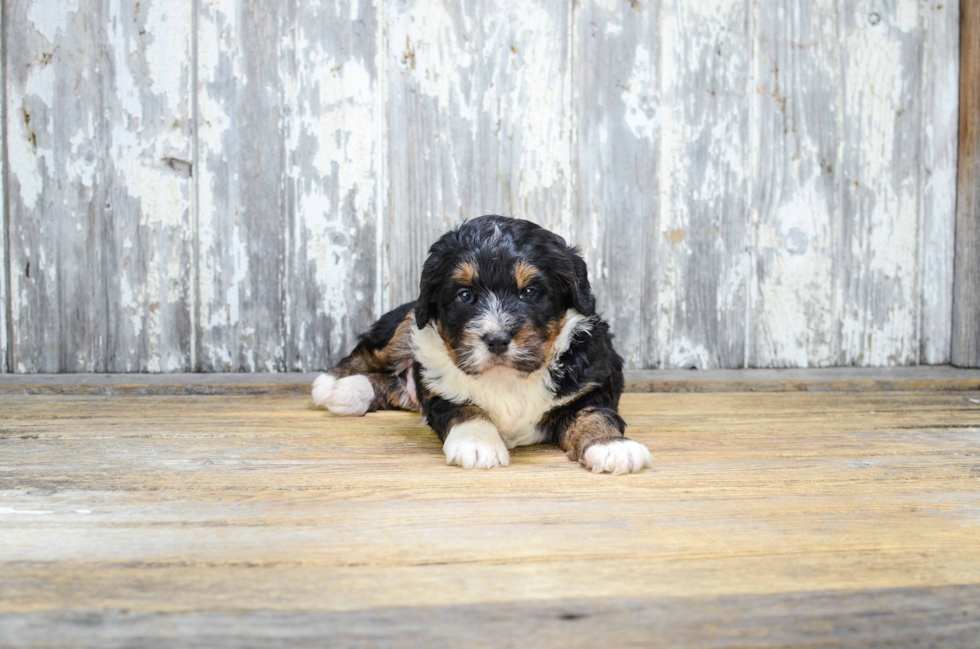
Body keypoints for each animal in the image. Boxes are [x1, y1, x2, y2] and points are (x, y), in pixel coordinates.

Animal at [312, 215, 652, 474]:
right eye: (465, 296)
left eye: (529, 292)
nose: (497, 339)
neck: (508, 377)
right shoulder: (439, 388)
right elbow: (466, 408)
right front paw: (477, 445)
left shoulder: (591, 384)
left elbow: (595, 414)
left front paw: (613, 447)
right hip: (408, 320)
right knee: (372, 352)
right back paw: (332, 384)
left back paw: (350, 392)